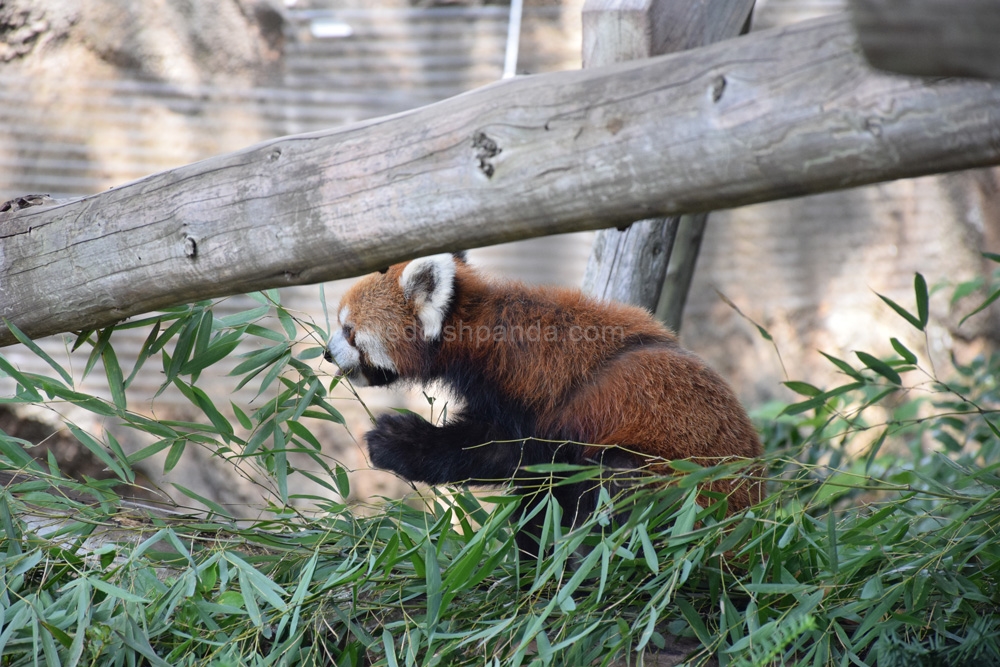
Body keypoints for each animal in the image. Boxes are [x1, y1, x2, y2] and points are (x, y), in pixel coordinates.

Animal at [324, 250, 760, 552]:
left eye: (349, 330)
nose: (327, 354)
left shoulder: (538, 398)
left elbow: (500, 452)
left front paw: (396, 441)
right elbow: (536, 488)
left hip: (679, 490)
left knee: (617, 485)